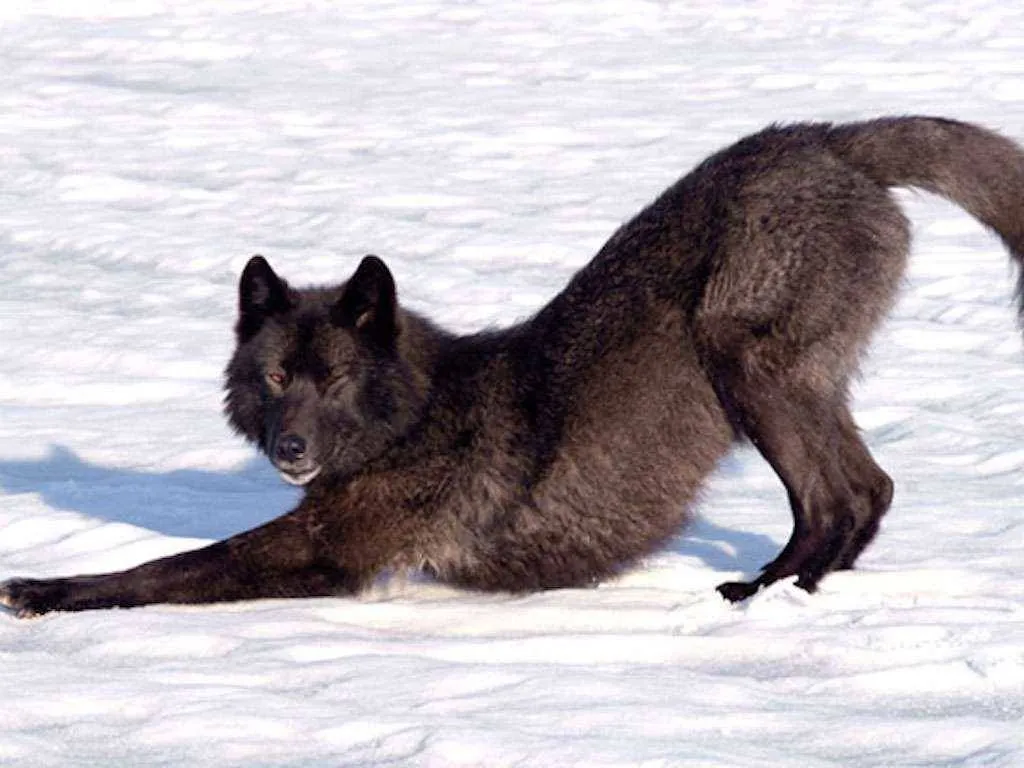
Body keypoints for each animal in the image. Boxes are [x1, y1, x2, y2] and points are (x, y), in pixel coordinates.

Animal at [2, 115, 1024, 618]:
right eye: (277, 378)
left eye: (335, 379)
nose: (290, 449)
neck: (412, 416)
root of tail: (829, 137)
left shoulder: (330, 550)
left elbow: (166, 568)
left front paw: (44, 593)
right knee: (869, 490)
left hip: (741, 360)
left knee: (845, 493)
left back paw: (766, 595)